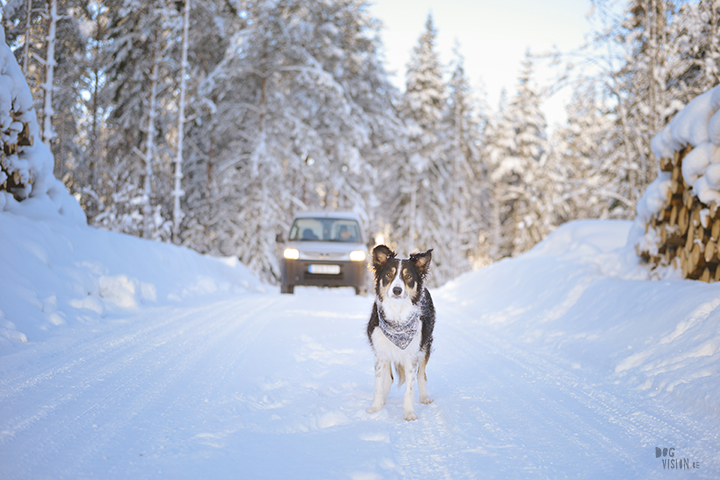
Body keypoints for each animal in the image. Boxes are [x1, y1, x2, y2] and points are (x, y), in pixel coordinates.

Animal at [366, 244, 434, 420]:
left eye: (408, 276)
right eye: (389, 274)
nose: (397, 290)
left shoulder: (412, 355)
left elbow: (410, 387)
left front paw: (409, 412)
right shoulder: (380, 352)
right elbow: (379, 383)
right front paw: (375, 408)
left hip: (425, 346)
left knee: (421, 374)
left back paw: (425, 397)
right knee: (388, 378)